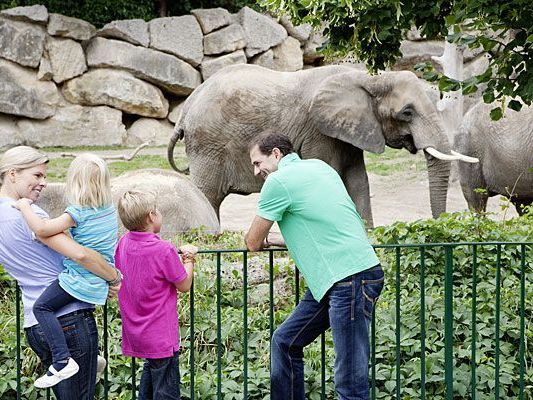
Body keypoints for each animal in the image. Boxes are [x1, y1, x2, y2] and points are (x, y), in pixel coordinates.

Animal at [167, 64, 474, 227]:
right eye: (407, 113)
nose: (440, 226)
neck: (368, 78)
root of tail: (186, 108)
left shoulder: (350, 131)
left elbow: (358, 181)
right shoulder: (318, 132)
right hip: (209, 144)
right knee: (207, 193)